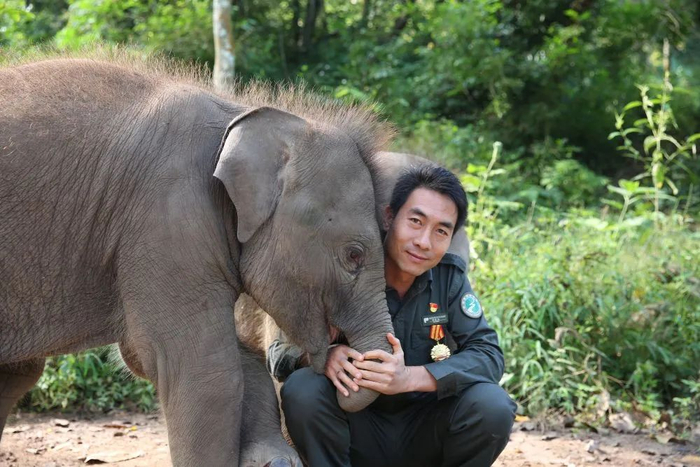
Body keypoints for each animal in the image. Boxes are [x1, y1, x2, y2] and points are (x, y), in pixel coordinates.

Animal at [0, 56, 396, 466]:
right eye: (354, 255)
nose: (351, 368)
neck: (241, 114)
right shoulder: (169, 219)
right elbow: (205, 374)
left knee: (16, 374)